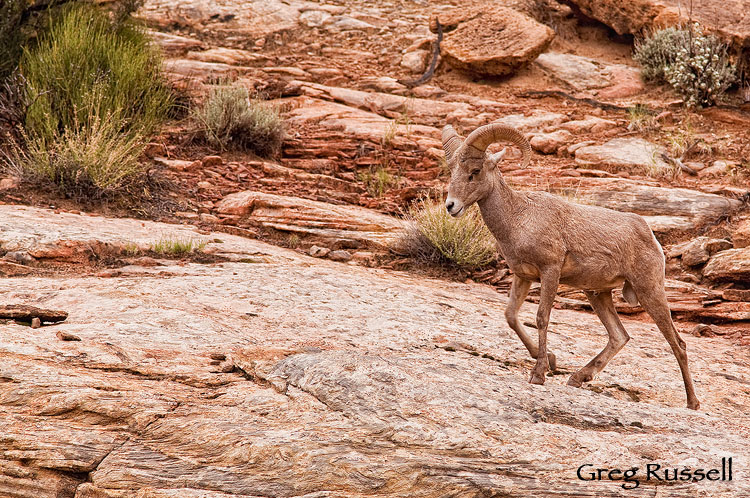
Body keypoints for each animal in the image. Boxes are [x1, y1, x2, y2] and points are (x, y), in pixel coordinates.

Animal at [442, 123, 700, 410]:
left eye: (474, 172)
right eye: (452, 171)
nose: (451, 206)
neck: (518, 218)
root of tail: (650, 235)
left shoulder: (550, 272)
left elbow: (541, 318)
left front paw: (539, 374)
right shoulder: (522, 276)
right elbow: (511, 316)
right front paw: (552, 361)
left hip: (649, 291)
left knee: (678, 343)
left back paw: (692, 403)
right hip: (598, 294)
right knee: (619, 336)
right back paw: (578, 378)